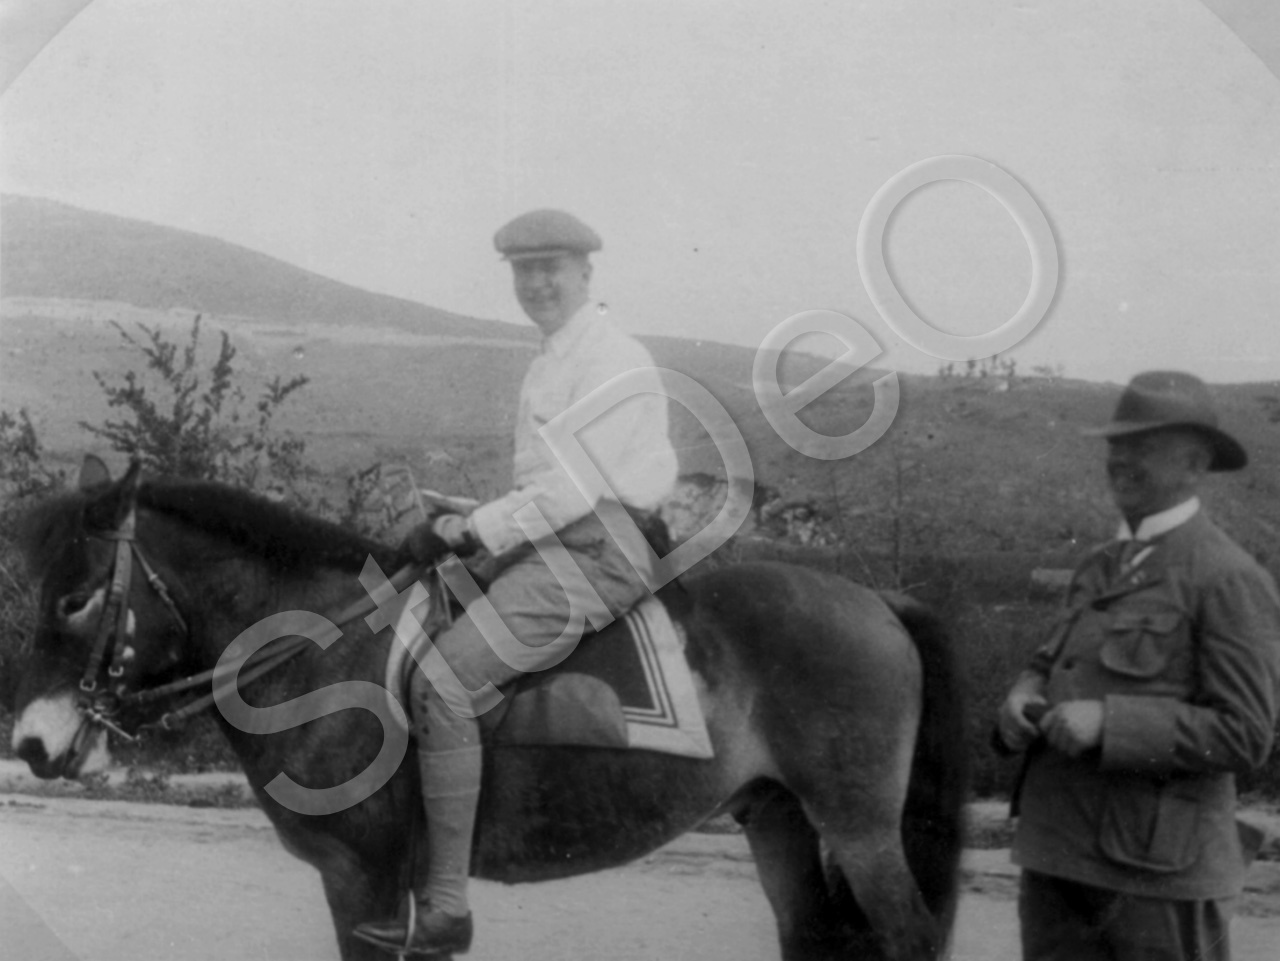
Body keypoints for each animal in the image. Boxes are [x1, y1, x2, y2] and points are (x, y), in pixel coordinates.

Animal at [10, 462, 967, 961]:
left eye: (76, 597)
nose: (31, 743)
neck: (325, 651)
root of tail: (878, 601)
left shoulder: (362, 881)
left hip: (859, 827)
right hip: (778, 817)